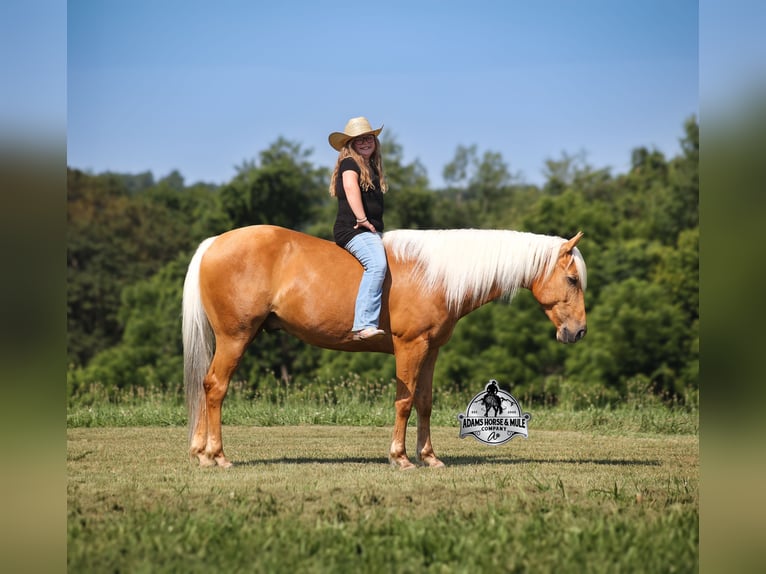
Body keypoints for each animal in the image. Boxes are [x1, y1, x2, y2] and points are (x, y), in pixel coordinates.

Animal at [182, 225, 587, 469]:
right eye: (572, 278)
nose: (579, 332)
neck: (436, 274)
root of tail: (212, 244)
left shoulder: (431, 350)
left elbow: (424, 402)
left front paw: (429, 457)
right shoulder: (410, 347)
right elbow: (404, 402)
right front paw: (400, 457)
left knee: (205, 386)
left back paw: (200, 453)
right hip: (235, 338)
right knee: (215, 387)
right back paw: (218, 456)